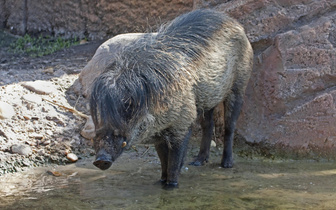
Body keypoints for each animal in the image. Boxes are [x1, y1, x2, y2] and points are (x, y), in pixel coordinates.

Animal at [89, 9, 252, 188]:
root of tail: (234, 22)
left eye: (128, 106)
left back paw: (226, 164)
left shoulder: (182, 123)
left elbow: (174, 161)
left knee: (230, 125)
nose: (100, 160)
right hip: (207, 100)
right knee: (207, 125)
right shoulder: (159, 134)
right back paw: (197, 162)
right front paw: (161, 181)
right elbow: (163, 160)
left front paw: (171, 185)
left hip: (240, 84)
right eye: (102, 111)